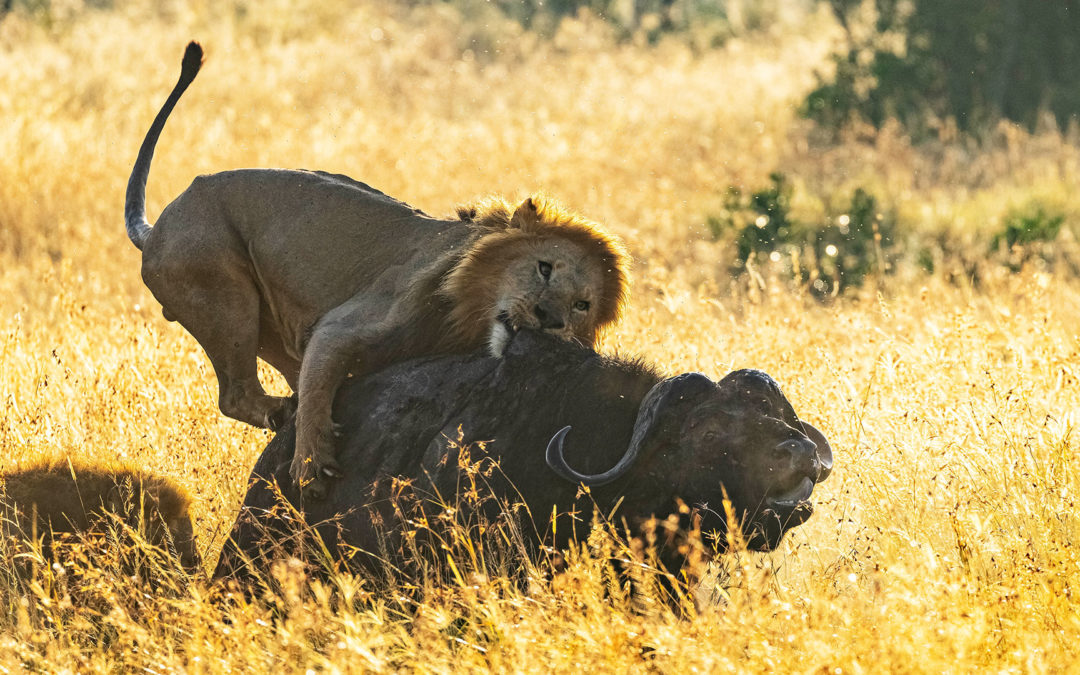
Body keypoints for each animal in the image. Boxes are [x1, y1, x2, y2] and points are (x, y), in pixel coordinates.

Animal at [122, 40, 630, 494]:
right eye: (544, 269)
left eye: (581, 305)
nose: (548, 319)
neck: (467, 315)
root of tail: (159, 223)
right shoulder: (342, 326)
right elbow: (319, 388)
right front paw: (311, 465)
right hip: (224, 295)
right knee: (237, 394)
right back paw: (285, 413)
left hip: (269, 325)